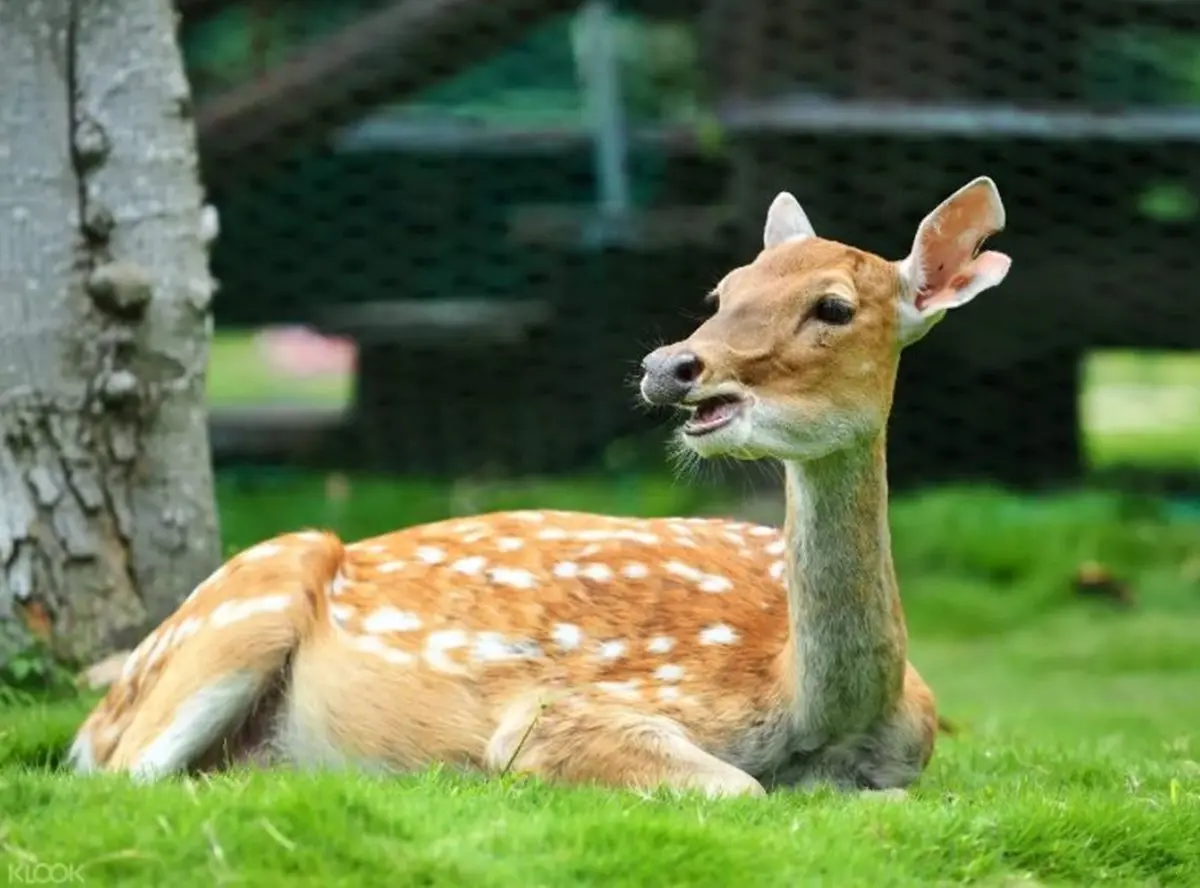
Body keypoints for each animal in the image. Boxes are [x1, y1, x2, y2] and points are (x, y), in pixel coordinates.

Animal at [68, 176, 1011, 798]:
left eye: (835, 308)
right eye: (723, 289)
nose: (669, 366)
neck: (815, 712)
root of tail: (95, 715)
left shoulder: (910, 762)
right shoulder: (559, 712)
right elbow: (736, 786)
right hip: (237, 605)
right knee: (115, 781)